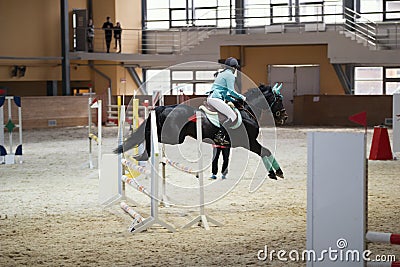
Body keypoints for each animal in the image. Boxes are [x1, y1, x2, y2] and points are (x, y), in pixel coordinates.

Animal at [115, 84, 288, 180]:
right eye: (279, 99)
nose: (284, 117)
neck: (247, 111)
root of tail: (163, 107)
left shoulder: (249, 142)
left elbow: (265, 151)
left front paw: (275, 173)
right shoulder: (249, 142)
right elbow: (265, 151)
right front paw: (276, 172)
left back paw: (142, 155)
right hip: (174, 137)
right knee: (152, 136)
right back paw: (144, 154)